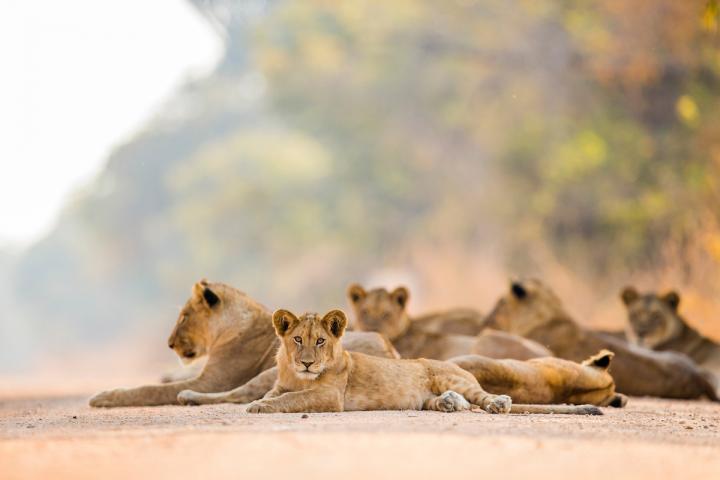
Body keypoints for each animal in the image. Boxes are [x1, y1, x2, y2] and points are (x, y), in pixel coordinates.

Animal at [88, 280, 400, 406]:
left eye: (184, 316)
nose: (169, 344)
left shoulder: (213, 381)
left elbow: (148, 390)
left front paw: (104, 396)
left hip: (272, 371)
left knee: (242, 395)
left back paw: (188, 397)